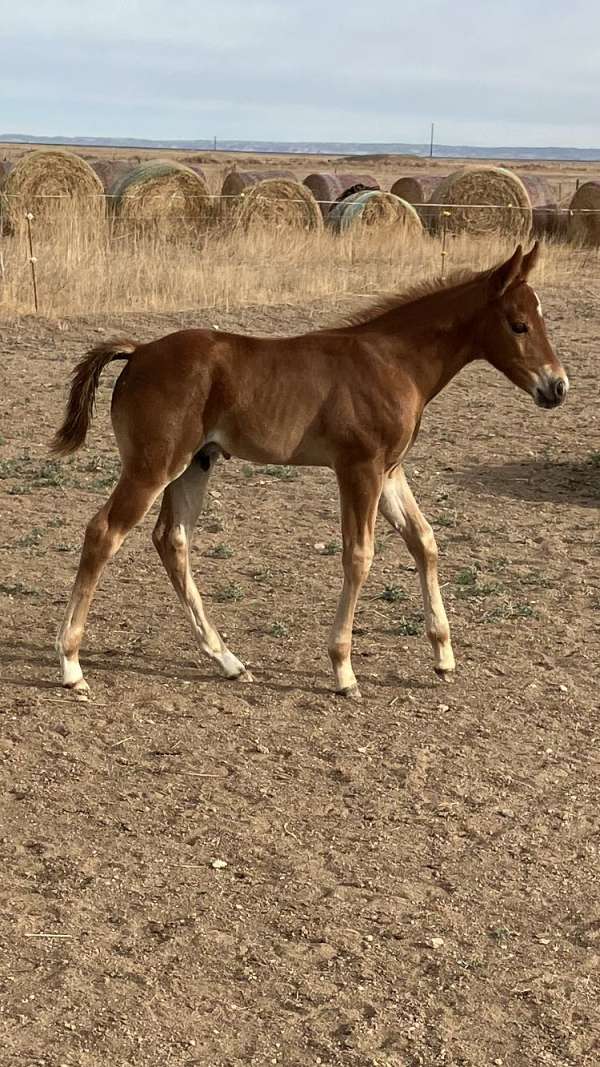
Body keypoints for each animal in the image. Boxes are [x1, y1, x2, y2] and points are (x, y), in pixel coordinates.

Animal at [51, 245, 563, 704]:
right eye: (518, 324)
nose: (557, 387)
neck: (392, 362)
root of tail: (138, 352)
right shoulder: (359, 468)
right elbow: (359, 555)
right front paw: (343, 670)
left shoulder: (390, 470)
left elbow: (425, 541)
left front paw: (443, 657)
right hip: (152, 467)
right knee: (104, 532)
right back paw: (71, 666)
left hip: (194, 465)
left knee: (172, 540)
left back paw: (227, 660)